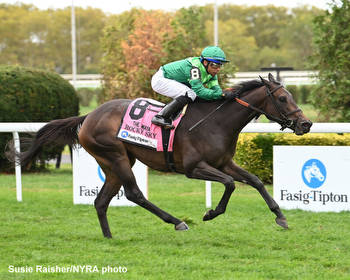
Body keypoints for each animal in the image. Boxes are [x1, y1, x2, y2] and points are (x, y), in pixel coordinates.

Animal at [10, 73, 312, 237]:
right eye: (283, 98)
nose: (306, 124)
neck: (216, 122)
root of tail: (89, 115)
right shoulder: (193, 167)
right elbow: (229, 184)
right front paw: (210, 213)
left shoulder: (225, 162)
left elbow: (255, 181)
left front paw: (280, 217)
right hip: (116, 157)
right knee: (134, 194)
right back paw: (177, 222)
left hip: (113, 163)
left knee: (101, 201)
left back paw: (109, 237)